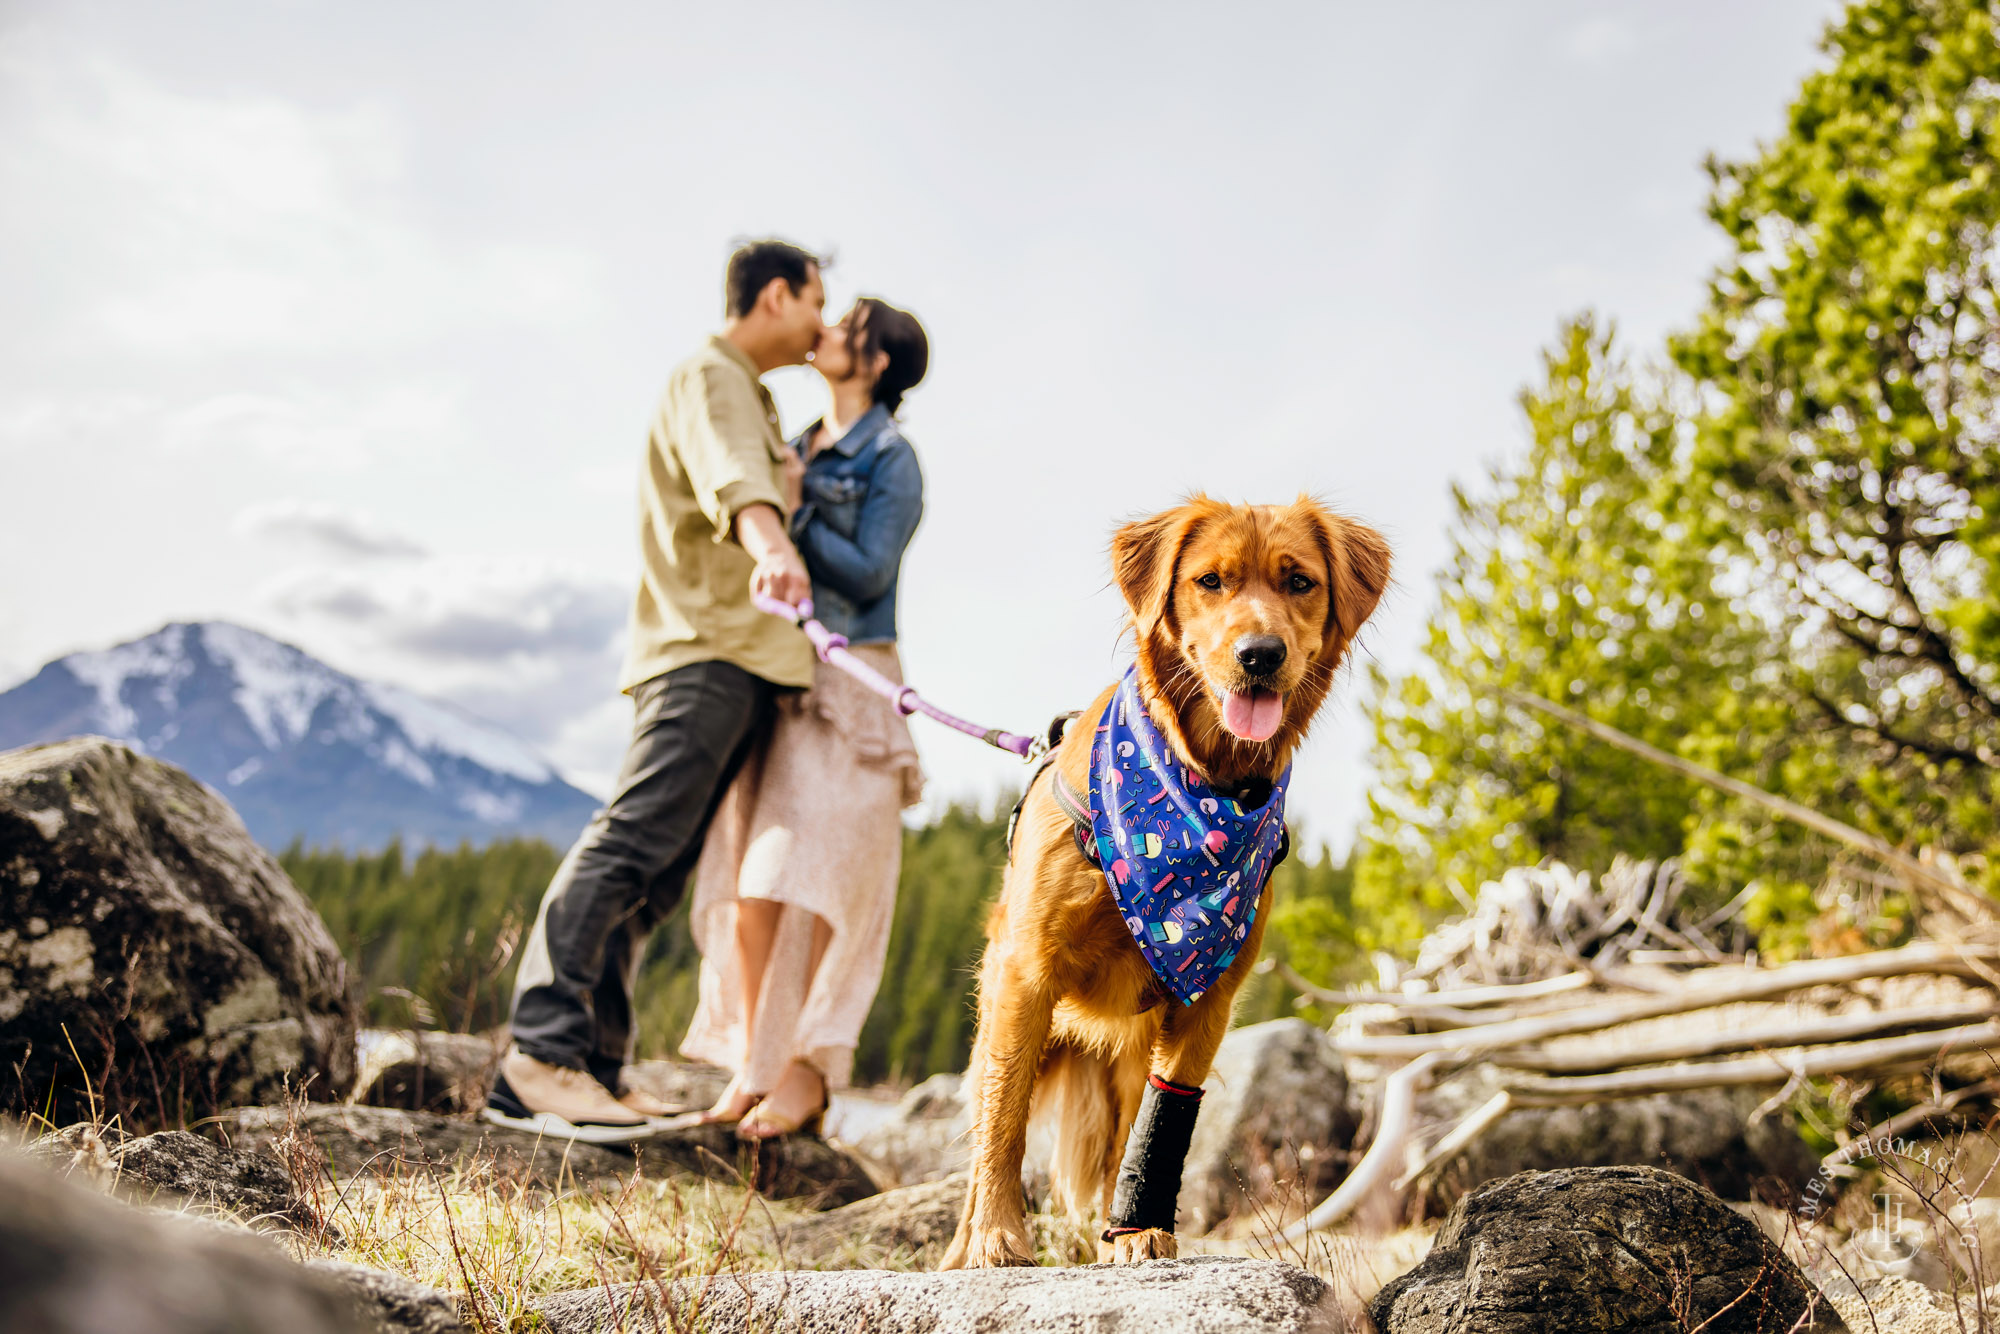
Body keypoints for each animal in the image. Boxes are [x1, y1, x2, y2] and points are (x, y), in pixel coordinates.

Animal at [940, 496, 1392, 1272]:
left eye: (1299, 581)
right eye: (1211, 580)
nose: (1260, 654)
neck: (1198, 788)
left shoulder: (1209, 995)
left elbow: (1165, 1117)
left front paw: (1136, 1230)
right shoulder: (1026, 974)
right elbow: (1004, 1117)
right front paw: (997, 1235)